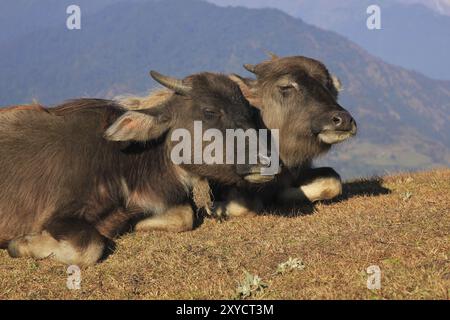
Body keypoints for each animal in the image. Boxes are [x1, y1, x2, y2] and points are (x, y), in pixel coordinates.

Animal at [0, 70, 272, 264]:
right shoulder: (60, 216)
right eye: (210, 111)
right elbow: (89, 248)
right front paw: (21, 244)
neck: (123, 160)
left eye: (248, 111)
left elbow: (184, 216)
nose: (266, 161)